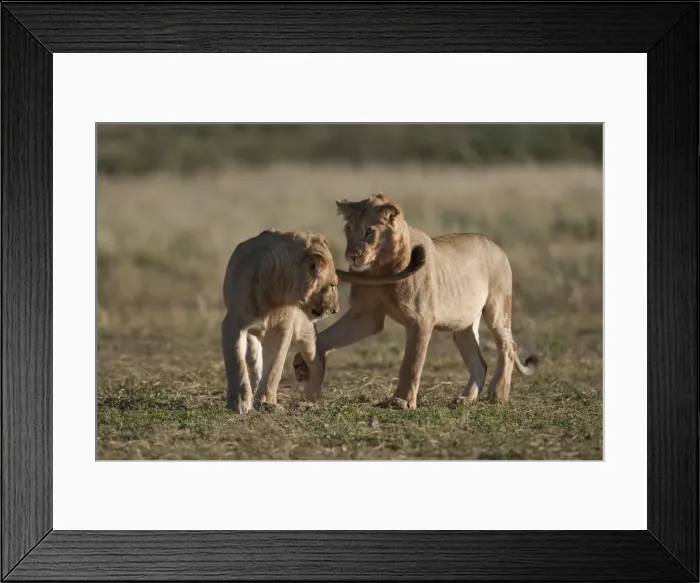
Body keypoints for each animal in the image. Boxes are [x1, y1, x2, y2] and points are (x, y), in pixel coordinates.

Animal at [221, 228, 427, 413]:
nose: (335, 310)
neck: (277, 293)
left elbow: (274, 368)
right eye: (332, 285)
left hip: (304, 328)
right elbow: (237, 364)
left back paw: (309, 399)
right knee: (255, 358)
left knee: (317, 359)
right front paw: (240, 402)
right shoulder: (233, 323)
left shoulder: (283, 328)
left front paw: (266, 402)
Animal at [293, 193, 539, 408]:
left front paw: (402, 402)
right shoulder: (366, 316)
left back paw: (497, 395)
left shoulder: (421, 320)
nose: (351, 256)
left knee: (508, 346)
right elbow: (326, 338)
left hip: (497, 308)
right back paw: (465, 399)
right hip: (462, 324)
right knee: (479, 362)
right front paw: (303, 363)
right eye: (349, 230)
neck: (380, 269)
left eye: (370, 232)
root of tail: (496, 246)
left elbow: (411, 363)